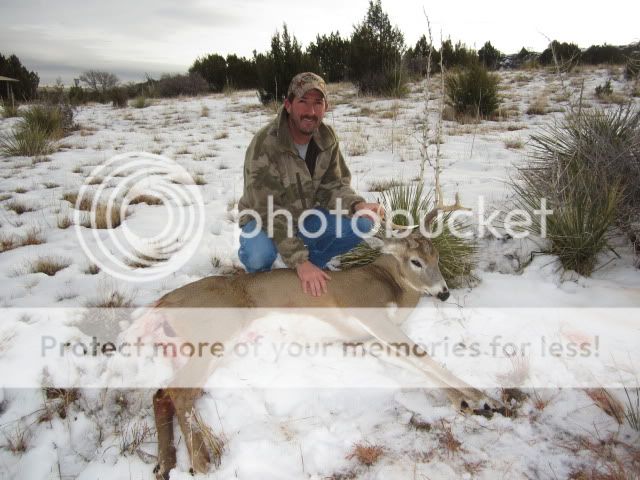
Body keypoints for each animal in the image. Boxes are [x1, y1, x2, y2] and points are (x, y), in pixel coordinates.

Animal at [145, 196, 500, 480]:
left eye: (438, 257)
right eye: (416, 261)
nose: (444, 293)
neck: (391, 286)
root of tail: (163, 302)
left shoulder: (367, 339)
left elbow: (414, 361)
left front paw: (465, 401)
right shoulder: (369, 313)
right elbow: (422, 355)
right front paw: (483, 399)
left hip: (191, 348)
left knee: (162, 394)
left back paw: (165, 464)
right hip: (212, 336)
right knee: (179, 393)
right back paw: (202, 463)